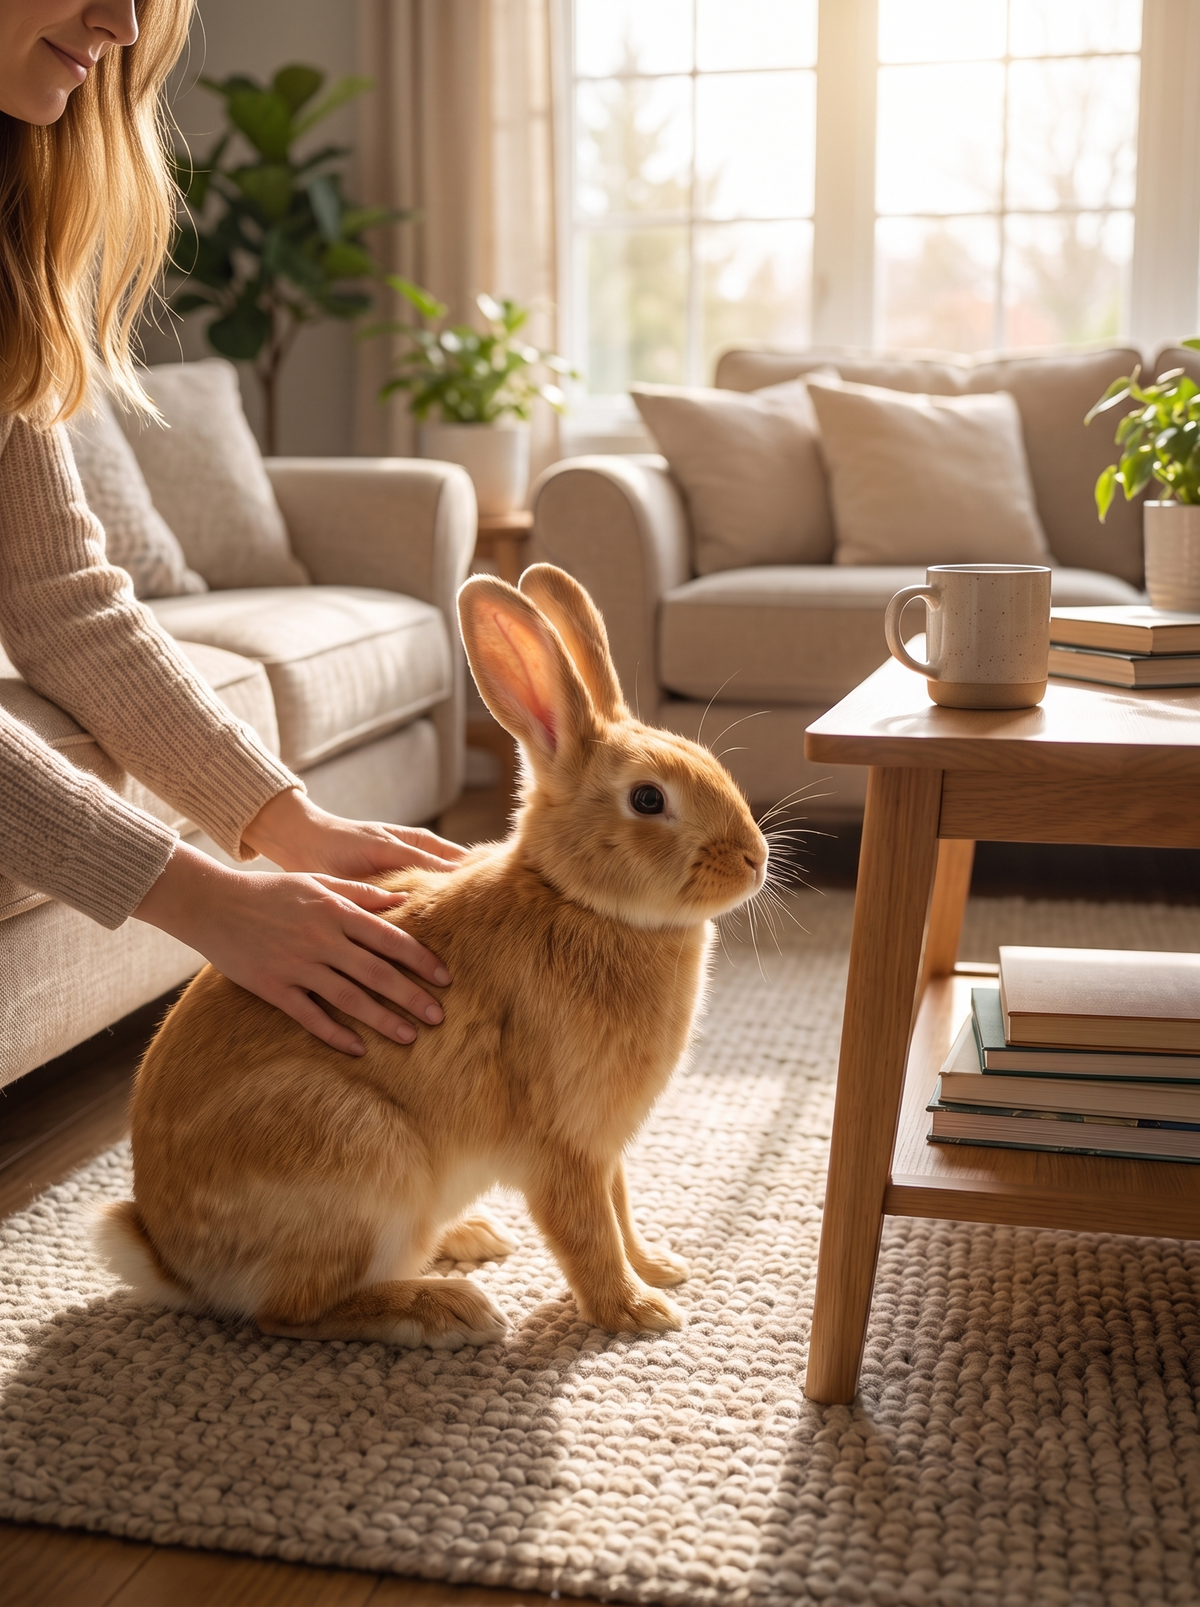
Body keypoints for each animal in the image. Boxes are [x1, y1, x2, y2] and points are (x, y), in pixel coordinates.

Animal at [96, 564, 768, 1348]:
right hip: (362, 1150)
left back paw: (469, 1239)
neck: (576, 900)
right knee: (293, 1311)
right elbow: (586, 1230)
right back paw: (447, 1308)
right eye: (648, 799)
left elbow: (621, 1208)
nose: (755, 859)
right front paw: (636, 1311)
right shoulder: (564, 1144)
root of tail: (170, 1258)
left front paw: (658, 1268)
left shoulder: (605, 1146)